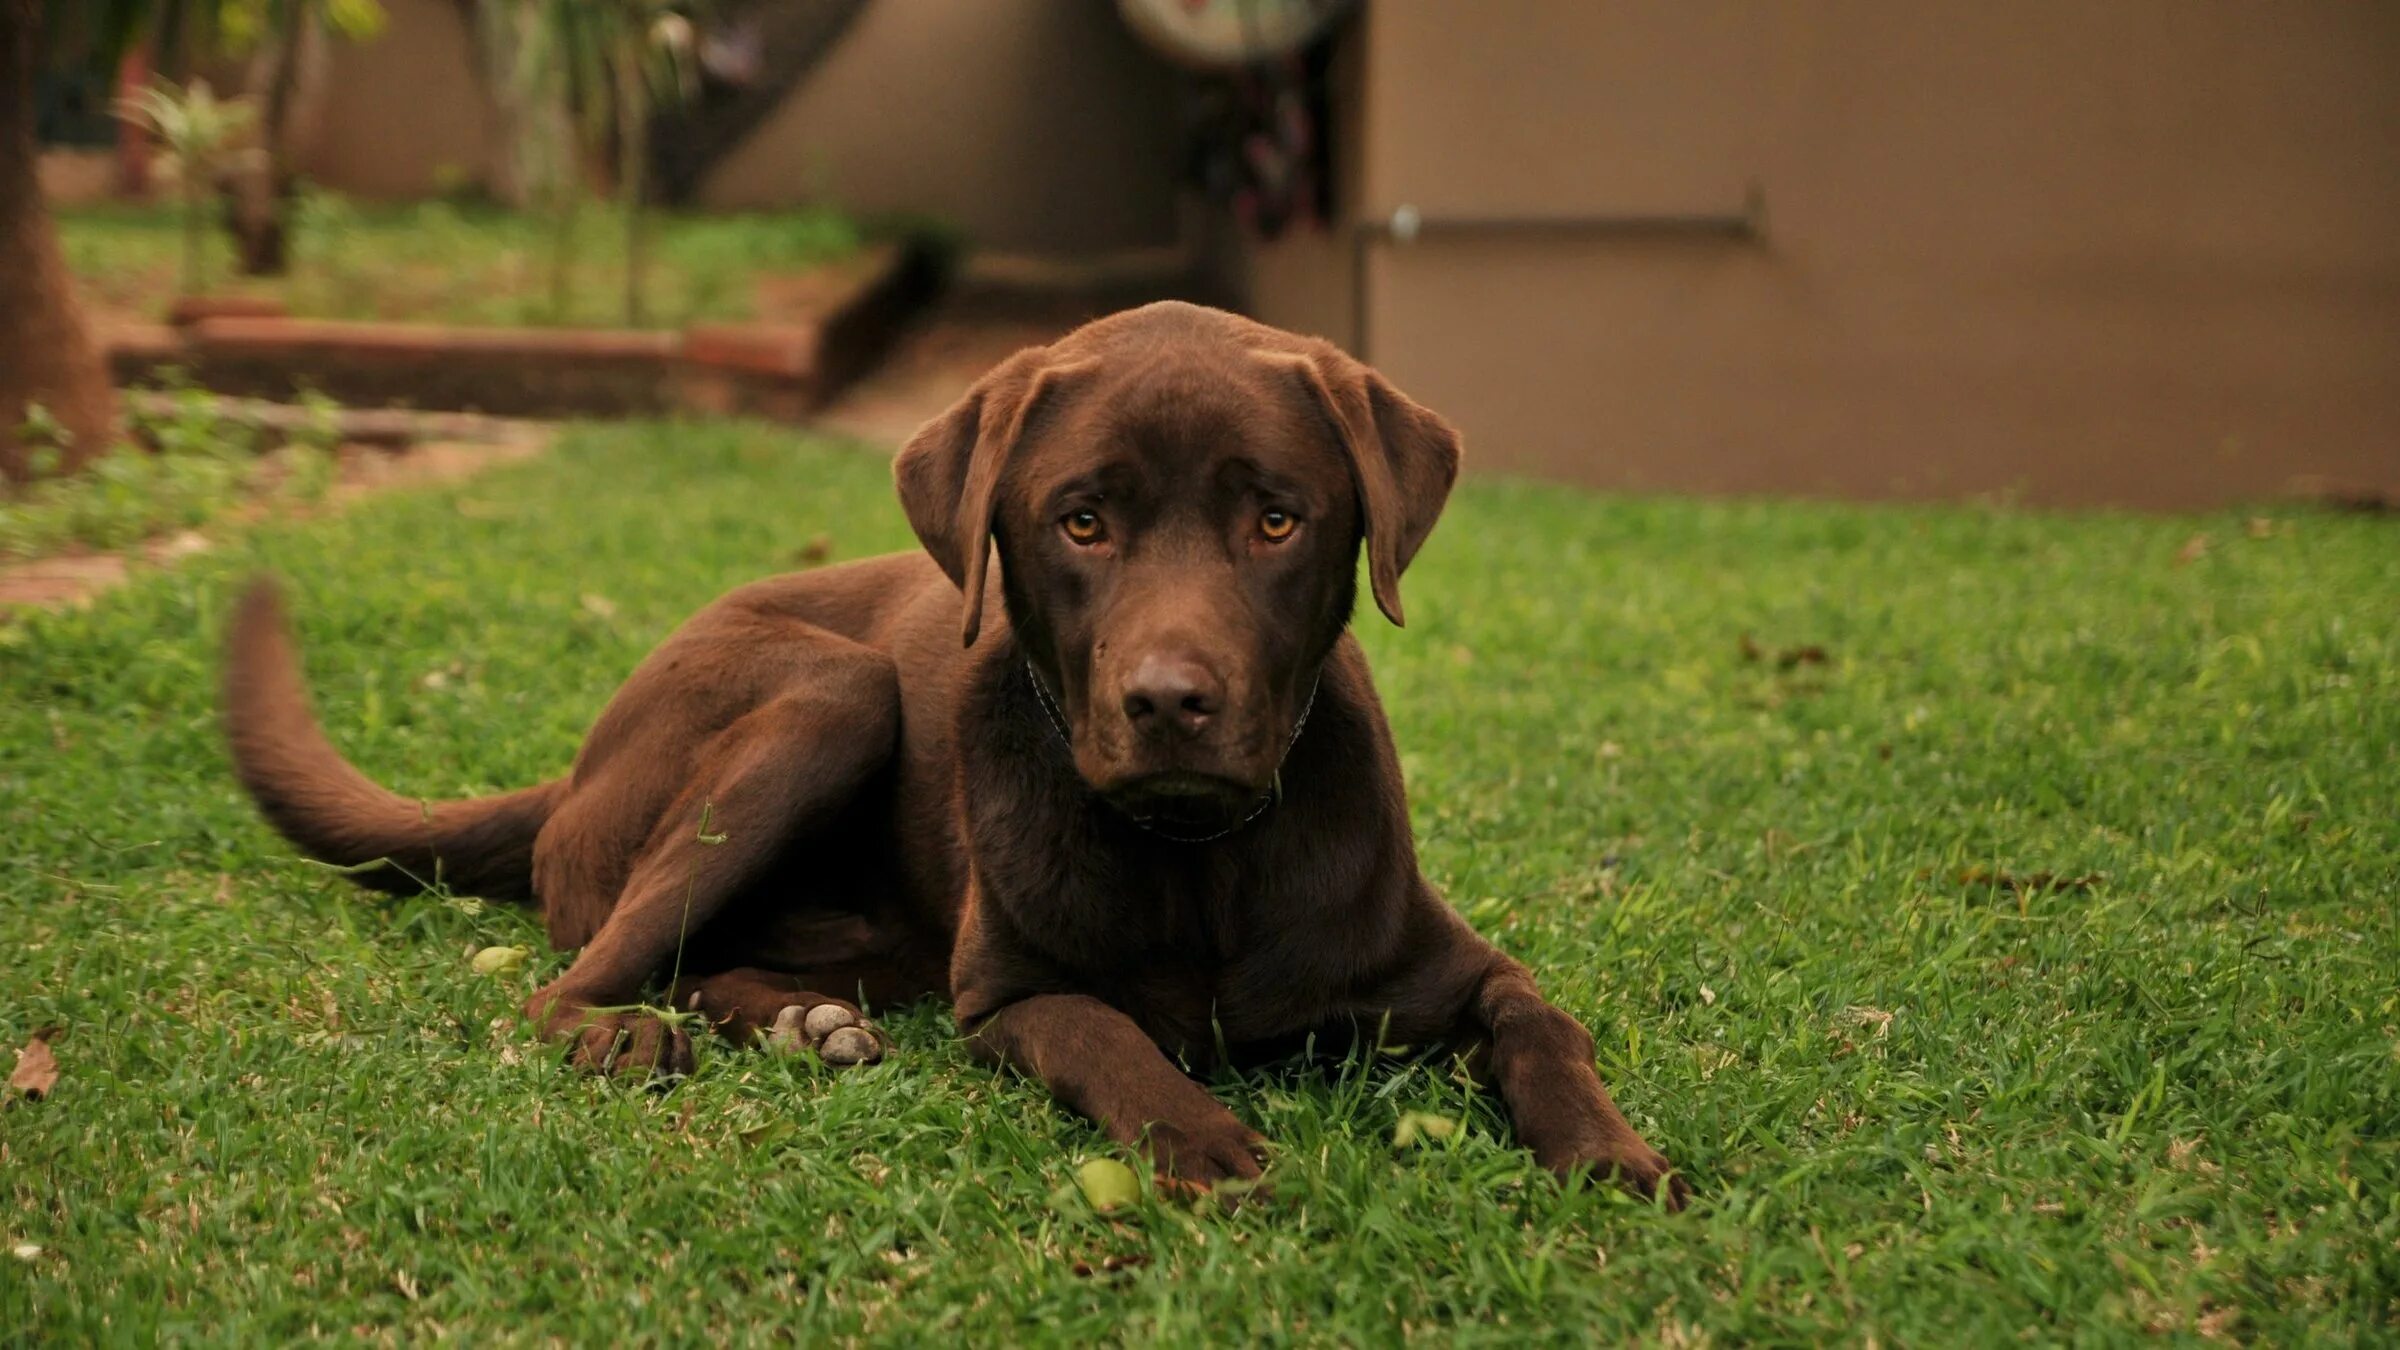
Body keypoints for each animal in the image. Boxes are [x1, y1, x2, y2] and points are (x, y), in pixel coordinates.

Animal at [225, 296, 1689, 1196]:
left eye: (1277, 520)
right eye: (1083, 521)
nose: (1168, 699)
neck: (1198, 860)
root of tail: (574, 768)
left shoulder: (1455, 966)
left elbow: (1543, 1022)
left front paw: (1611, 1155)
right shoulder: (1006, 997)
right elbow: (1109, 1034)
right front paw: (1204, 1139)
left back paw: (806, 1021)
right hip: (830, 694)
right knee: (572, 979)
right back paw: (634, 1035)